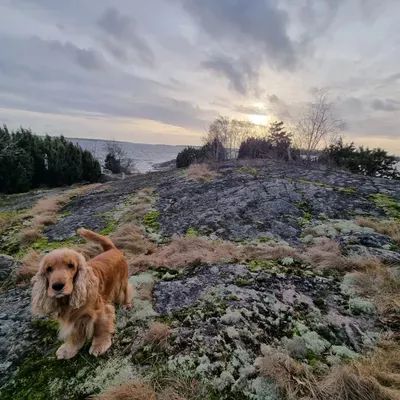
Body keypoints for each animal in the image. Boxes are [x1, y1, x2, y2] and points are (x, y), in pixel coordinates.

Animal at [31, 228, 134, 360]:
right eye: (48, 269)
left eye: (71, 265)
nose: (57, 286)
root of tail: (111, 249)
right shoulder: (74, 320)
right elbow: (74, 336)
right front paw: (68, 350)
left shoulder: (101, 311)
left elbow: (101, 327)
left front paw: (100, 345)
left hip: (122, 281)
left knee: (126, 291)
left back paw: (126, 304)